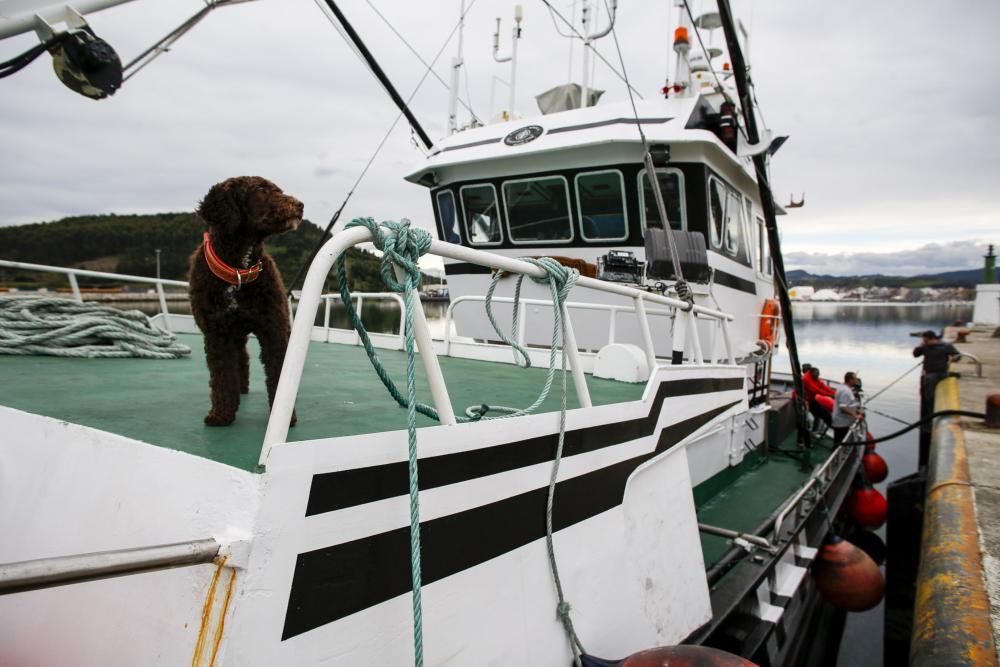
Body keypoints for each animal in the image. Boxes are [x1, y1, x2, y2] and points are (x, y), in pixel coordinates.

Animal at [188, 177, 300, 428]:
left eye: (278, 190)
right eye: (260, 190)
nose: (300, 205)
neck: (237, 272)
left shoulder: (273, 330)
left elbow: (278, 373)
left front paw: (284, 416)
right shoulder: (217, 333)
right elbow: (221, 376)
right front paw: (221, 414)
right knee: (239, 360)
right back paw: (238, 392)